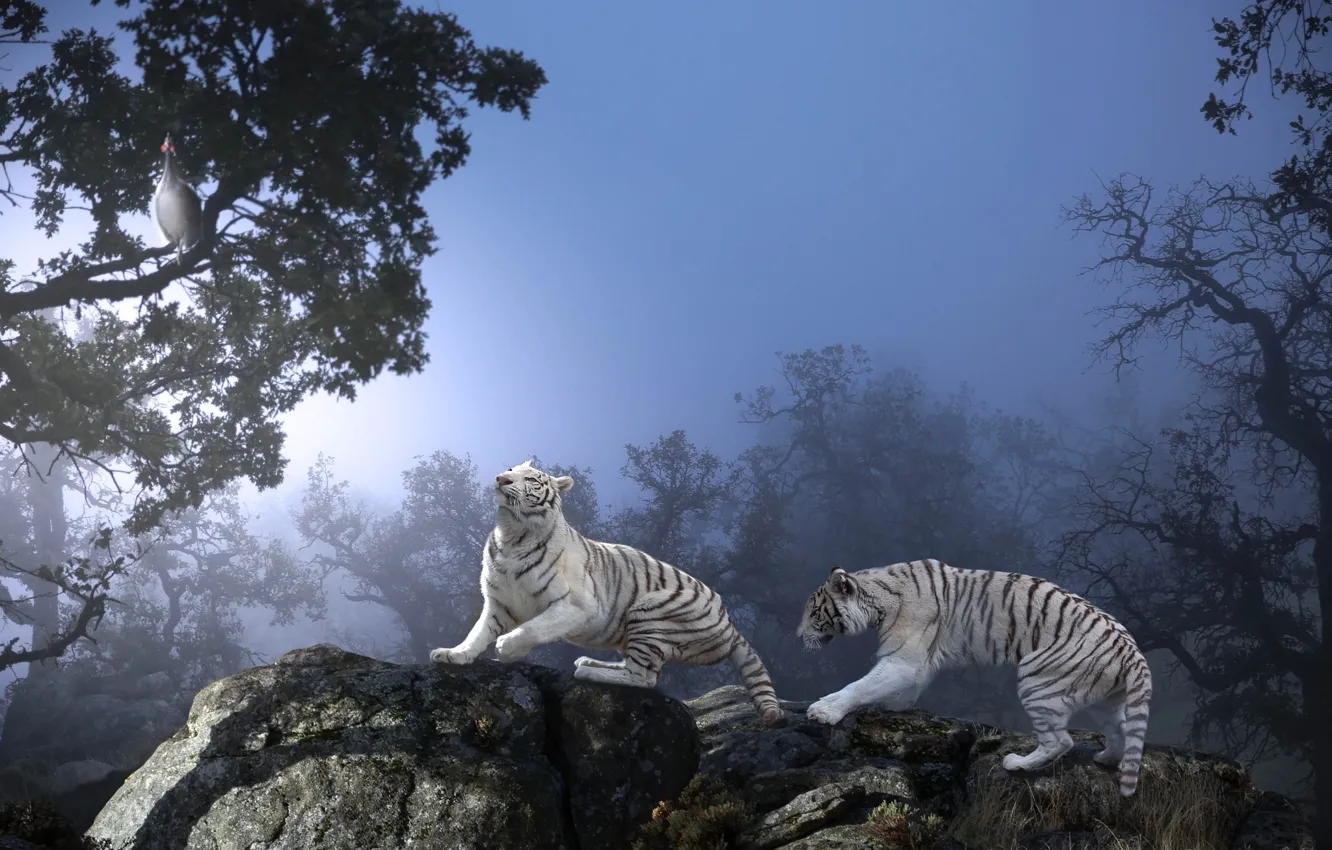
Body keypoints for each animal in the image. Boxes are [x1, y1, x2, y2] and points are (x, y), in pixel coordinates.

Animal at [430, 459, 785, 727]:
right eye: (510, 468)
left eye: (529, 478)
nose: (501, 478)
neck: (512, 533)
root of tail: (731, 624)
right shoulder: (499, 603)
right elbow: (477, 632)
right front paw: (455, 654)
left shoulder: (578, 606)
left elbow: (535, 627)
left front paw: (508, 648)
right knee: (635, 668)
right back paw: (590, 661)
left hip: (650, 613)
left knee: (644, 677)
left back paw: (589, 671)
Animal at [796, 560, 1153, 796]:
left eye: (814, 613)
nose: (798, 636)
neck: (879, 599)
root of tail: (1131, 649)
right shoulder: (914, 666)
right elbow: (883, 689)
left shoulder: (903, 662)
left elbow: (861, 685)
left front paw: (825, 711)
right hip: (1104, 699)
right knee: (1120, 728)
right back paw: (1106, 758)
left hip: (1037, 681)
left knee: (1061, 741)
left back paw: (1018, 763)